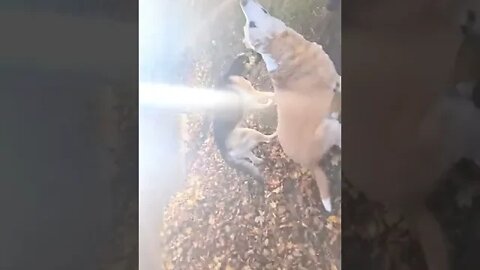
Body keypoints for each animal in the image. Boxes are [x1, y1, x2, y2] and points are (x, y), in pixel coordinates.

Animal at [212, 50, 276, 190]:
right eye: (252, 55)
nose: (260, 54)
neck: (234, 71)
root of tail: (224, 151)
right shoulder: (253, 95)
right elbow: (269, 95)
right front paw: (272, 99)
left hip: (245, 147)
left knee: (252, 159)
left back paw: (259, 161)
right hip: (250, 133)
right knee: (267, 139)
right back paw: (275, 133)